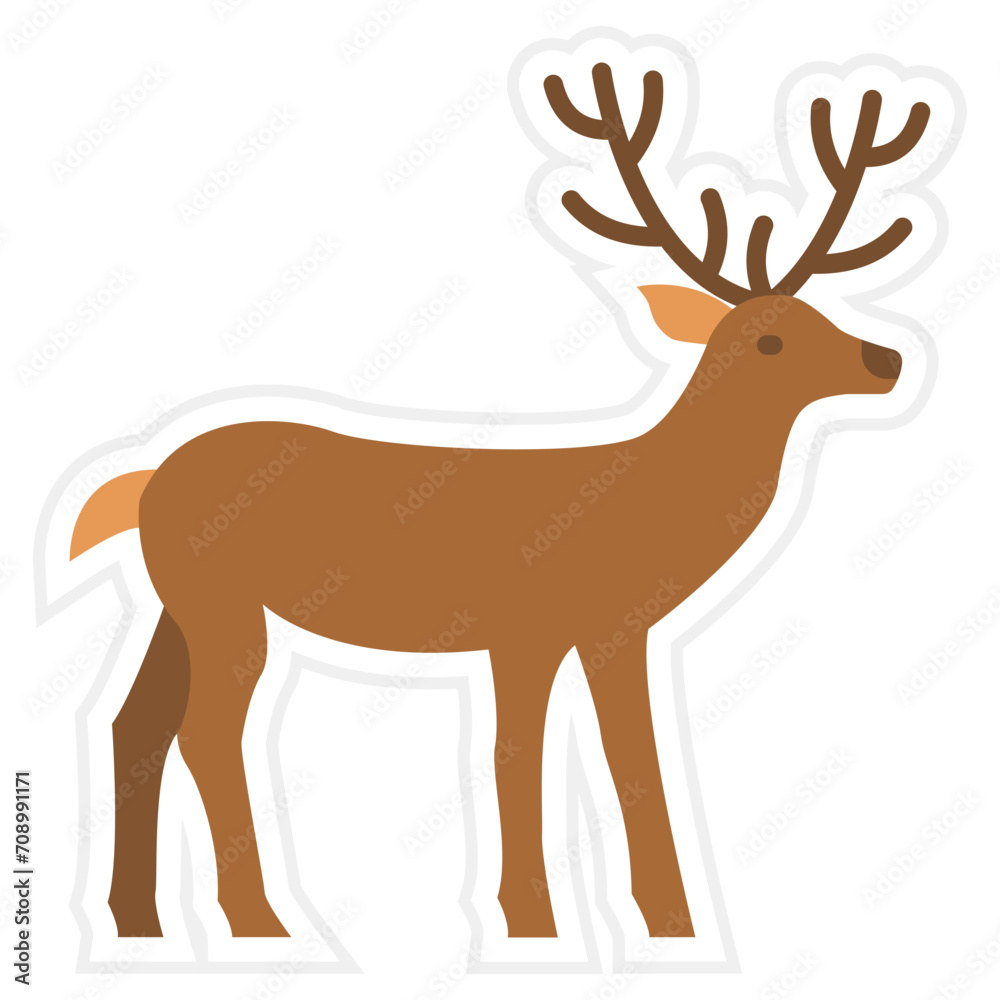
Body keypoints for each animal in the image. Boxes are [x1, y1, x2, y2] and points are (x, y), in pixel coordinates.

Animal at [68, 62, 929, 942]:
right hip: (226, 606)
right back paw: (263, 924)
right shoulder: (533, 628)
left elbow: (628, 757)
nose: (888, 359)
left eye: (822, 310)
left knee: (134, 720)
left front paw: (664, 924)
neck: (645, 497)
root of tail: (143, 480)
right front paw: (541, 924)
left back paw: (137, 920)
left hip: (177, 604)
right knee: (205, 731)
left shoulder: (604, 631)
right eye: (769, 339)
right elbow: (527, 757)